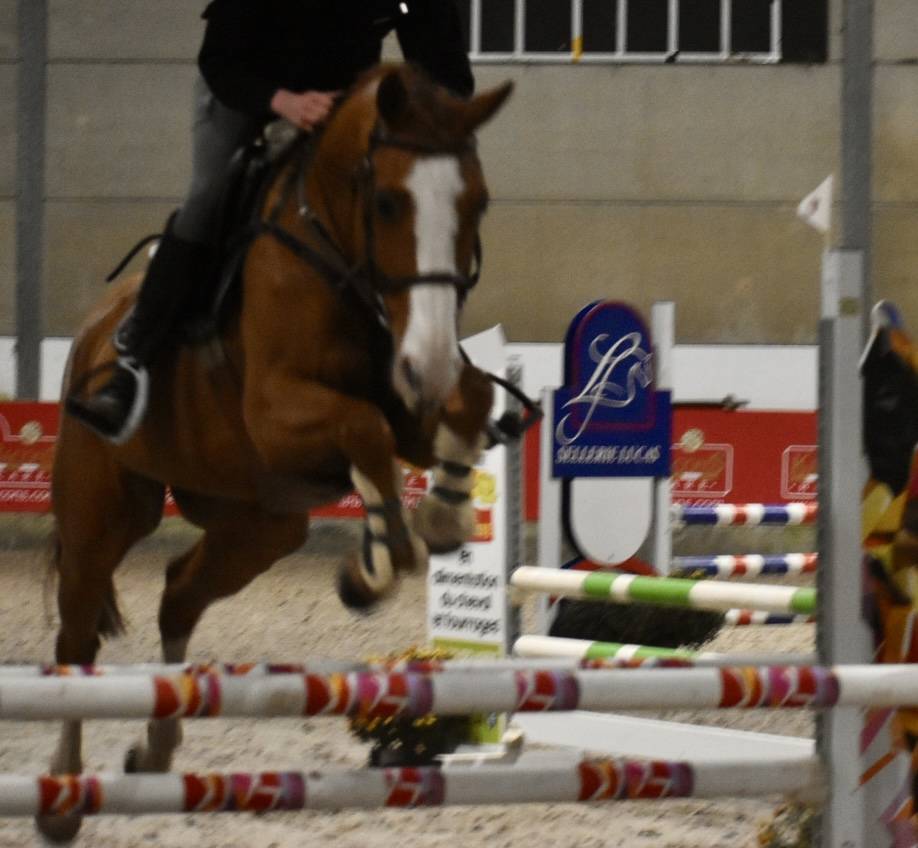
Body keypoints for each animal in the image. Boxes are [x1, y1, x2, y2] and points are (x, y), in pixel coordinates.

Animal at [38, 63, 513, 842]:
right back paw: (62, 797)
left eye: (478, 202)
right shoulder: (276, 412)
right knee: (77, 643)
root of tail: (94, 331)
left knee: (178, 595)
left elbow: (462, 404)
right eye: (387, 201)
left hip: (259, 527)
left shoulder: (413, 396)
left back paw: (156, 746)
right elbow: (363, 429)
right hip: (99, 515)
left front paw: (437, 521)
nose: (430, 364)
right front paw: (377, 563)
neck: (336, 257)